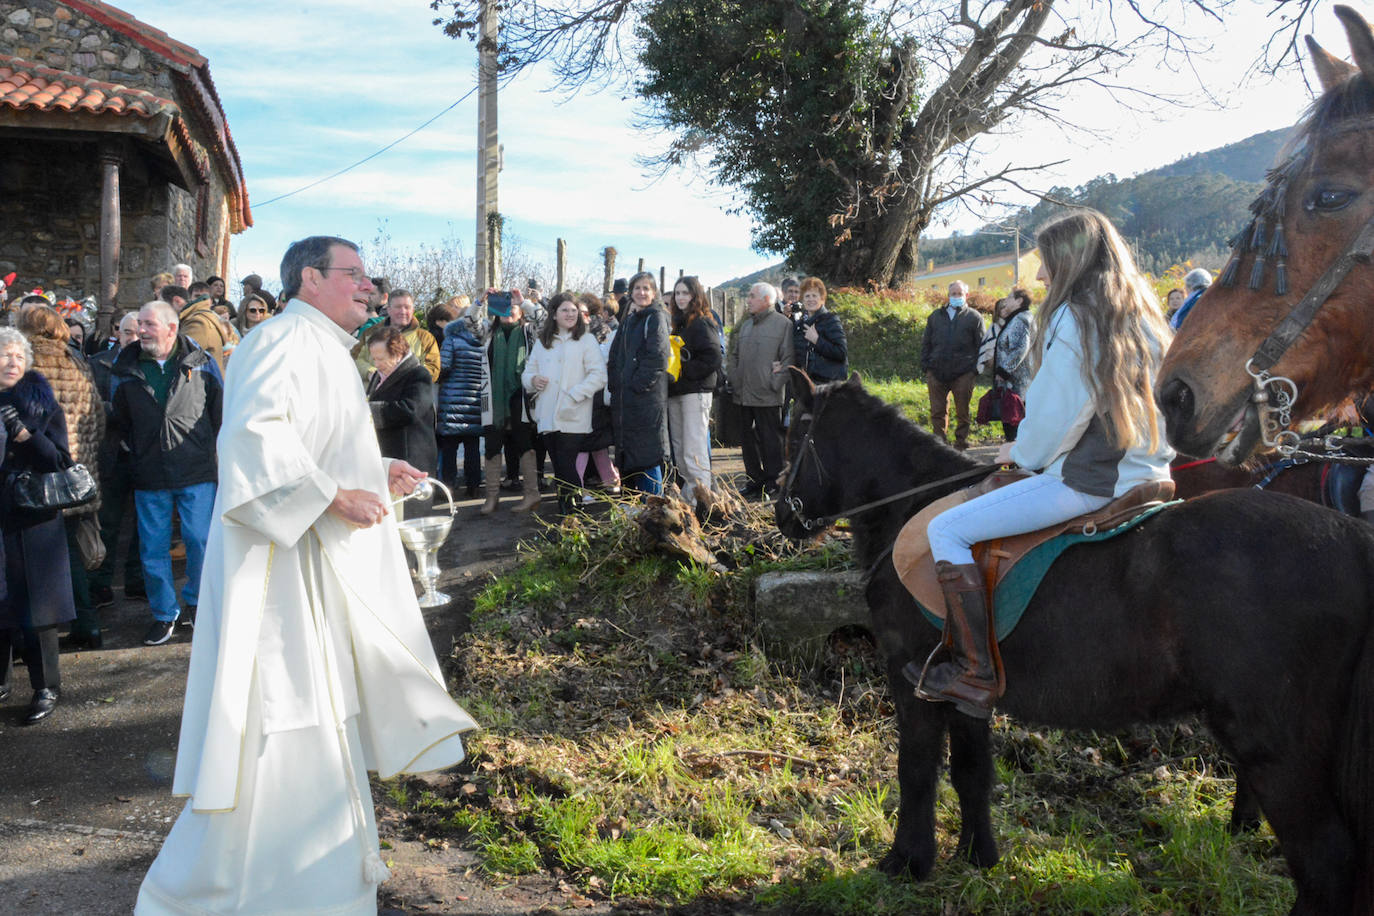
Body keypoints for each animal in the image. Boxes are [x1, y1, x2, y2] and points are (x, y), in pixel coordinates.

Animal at [774, 373, 1374, 916]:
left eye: (794, 431)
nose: (782, 513)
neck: (913, 512)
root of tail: (1353, 544)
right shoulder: (964, 686)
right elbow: (971, 771)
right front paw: (977, 856)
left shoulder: (911, 680)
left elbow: (916, 770)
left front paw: (907, 862)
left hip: (1279, 753)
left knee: (1326, 863)